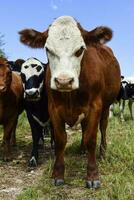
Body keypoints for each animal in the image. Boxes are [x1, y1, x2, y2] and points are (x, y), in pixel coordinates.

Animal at [18, 16, 120, 189]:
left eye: (80, 49)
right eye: (48, 49)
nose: (63, 81)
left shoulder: (95, 106)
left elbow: (92, 139)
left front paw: (92, 175)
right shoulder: (53, 109)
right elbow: (60, 140)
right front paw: (58, 174)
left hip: (106, 106)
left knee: (103, 128)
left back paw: (102, 153)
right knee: (85, 129)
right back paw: (82, 149)